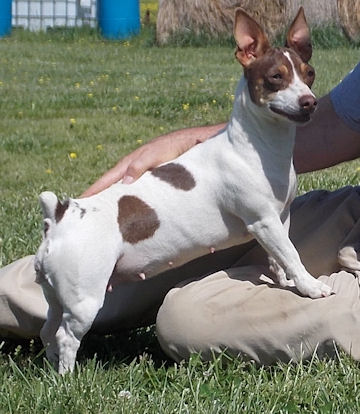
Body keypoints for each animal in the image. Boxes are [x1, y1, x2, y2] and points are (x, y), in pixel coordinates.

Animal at [34, 6, 332, 374]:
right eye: (276, 77)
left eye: (310, 74)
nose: (309, 102)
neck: (259, 146)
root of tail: (60, 217)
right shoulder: (262, 221)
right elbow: (292, 255)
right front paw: (311, 287)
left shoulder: (280, 217)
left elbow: (280, 258)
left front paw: (286, 283)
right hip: (84, 299)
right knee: (65, 337)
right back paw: (68, 378)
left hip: (56, 295)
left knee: (48, 330)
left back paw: (52, 371)